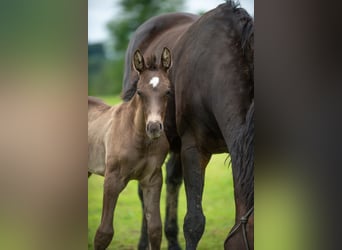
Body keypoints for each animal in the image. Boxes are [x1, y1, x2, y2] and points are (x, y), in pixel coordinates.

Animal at [88, 47, 172, 250]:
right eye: (140, 92)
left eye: (168, 91)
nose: (154, 128)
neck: (140, 139)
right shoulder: (112, 179)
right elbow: (103, 233)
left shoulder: (153, 179)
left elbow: (155, 229)